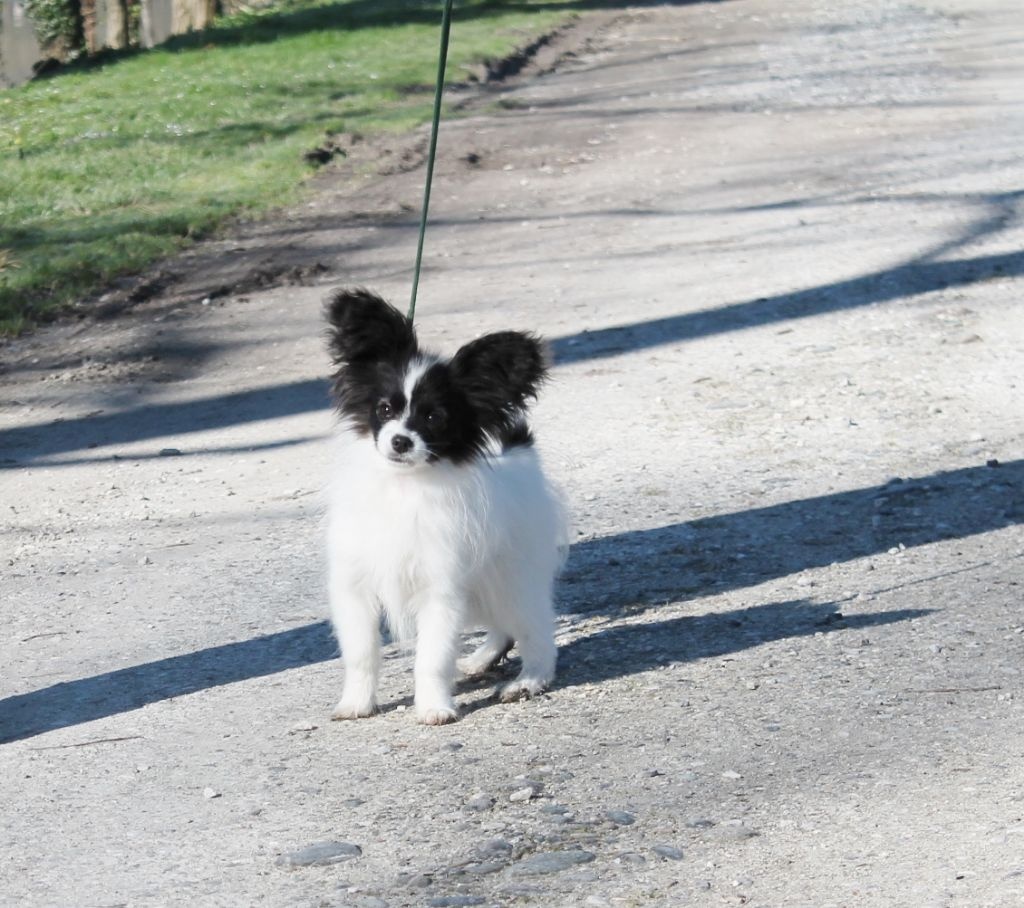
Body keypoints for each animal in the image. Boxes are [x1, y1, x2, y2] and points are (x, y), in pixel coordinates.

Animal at [323, 286, 565, 728]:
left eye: (434, 418)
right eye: (384, 409)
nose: (400, 441)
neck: (403, 487)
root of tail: (522, 459)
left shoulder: (440, 589)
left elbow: (432, 657)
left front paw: (434, 708)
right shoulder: (354, 586)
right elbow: (361, 653)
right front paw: (356, 703)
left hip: (512, 579)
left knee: (537, 629)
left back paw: (528, 681)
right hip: (485, 585)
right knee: (503, 628)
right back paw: (481, 660)